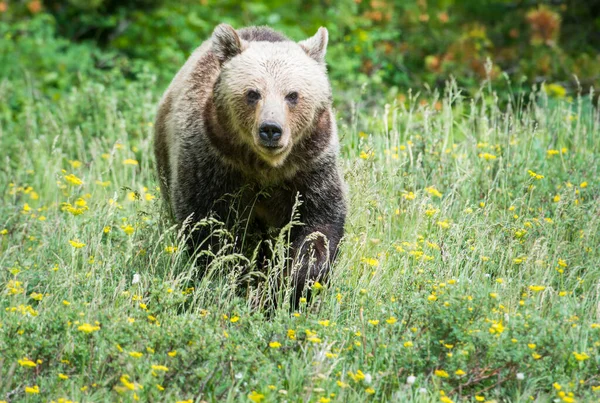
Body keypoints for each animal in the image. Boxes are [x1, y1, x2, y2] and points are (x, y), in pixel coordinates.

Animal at [155, 24, 344, 306]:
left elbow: (319, 224)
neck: (265, 166)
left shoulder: (311, 165)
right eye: (253, 93)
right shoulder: (211, 161)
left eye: (292, 95)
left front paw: (292, 286)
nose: (271, 129)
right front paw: (237, 280)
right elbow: (207, 226)